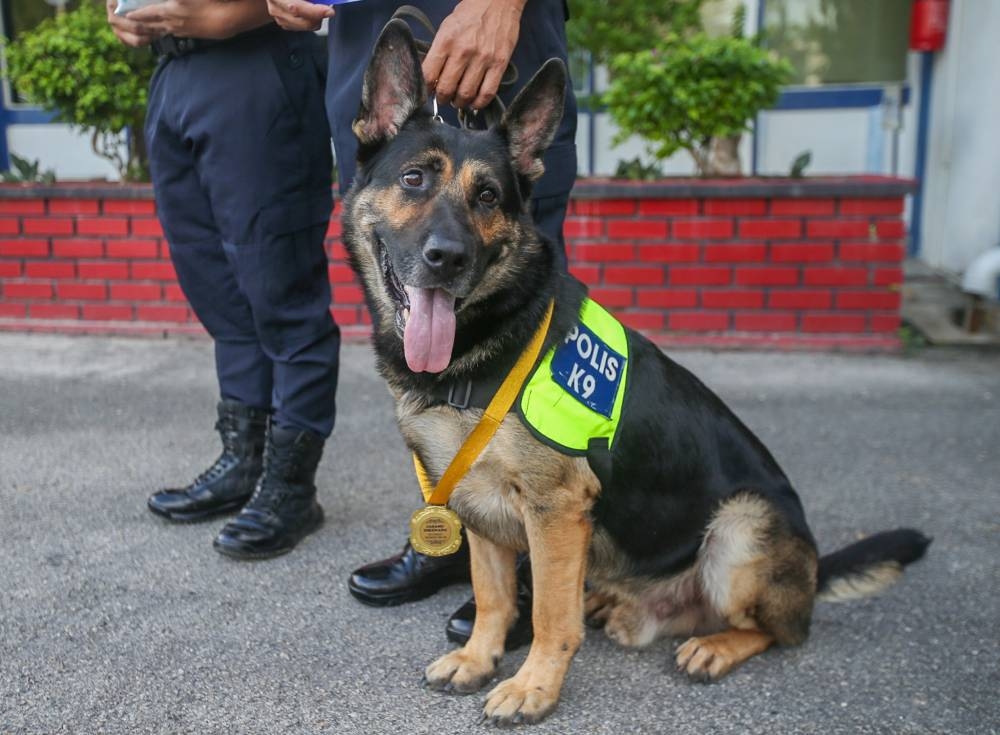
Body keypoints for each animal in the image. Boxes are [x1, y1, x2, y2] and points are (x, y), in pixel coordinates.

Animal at [344, 20, 928, 728]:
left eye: (487, 196)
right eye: (413, 179)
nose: (448, 258)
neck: (479, 347)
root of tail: (812, 572)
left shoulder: (556, 507)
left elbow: (546, 613)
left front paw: (533, 686)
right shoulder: (475, 502)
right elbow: (493, 595)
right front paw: (480, 659)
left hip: (740, 525)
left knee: (778, 629)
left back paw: (715, 645)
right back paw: (610, 601)